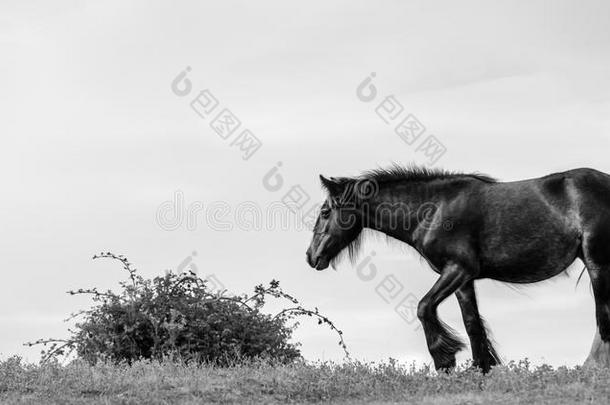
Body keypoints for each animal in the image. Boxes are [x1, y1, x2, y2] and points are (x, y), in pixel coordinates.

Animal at [304, 165, 608, 372]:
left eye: (325, 212)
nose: (311, 256)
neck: (433, 210)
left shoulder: (457, 269)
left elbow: (424, 307)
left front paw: (445, 359)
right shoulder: (464, 280)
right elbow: (472, 323)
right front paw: (481, 368)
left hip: (597, 263)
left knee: (602, 316)